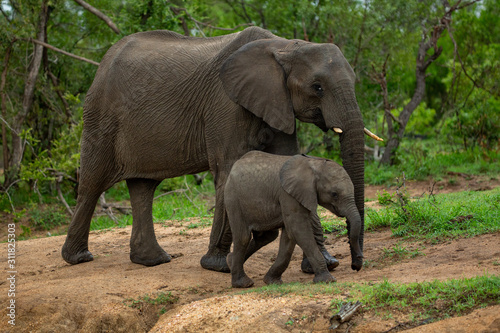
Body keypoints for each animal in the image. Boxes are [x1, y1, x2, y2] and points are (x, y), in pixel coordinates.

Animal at [61, 26, 376, 272]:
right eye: (317, 87)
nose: (356, 264)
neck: (284, 45)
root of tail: (104, 61)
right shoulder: (226, 104)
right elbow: (228, 170)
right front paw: (219, 265)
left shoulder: (276, 102)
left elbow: (287, 165)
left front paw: (327, 263)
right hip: (101, 116)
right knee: (92, 184)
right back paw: (79, 258)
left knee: (143, 187)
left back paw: (153, 260)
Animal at [224, 151, 364, 288]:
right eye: (334, 194)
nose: (355, 266)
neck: (314, 163)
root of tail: (234, 166)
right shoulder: (287, 194)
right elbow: (298, 230)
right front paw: (328, 280)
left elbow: (289, 236)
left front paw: (272, 282)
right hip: (233, 199)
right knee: (243, 237)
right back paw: (243, 283)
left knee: (267, 236)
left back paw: (229, 262)